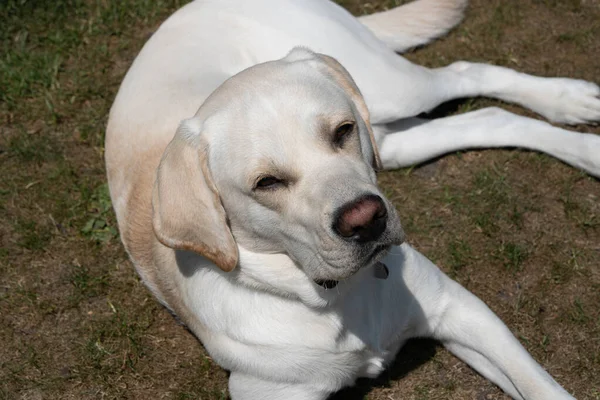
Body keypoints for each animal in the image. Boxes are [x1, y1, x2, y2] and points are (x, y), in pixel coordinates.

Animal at [105, 1, 596, 398]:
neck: (333, 297)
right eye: (266, 182)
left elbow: (541, 387)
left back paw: (569, 101)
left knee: (465, 72)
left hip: (387, 89)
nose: (366, 220)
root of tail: (185, 9)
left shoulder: (458, 307)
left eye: (341, 130)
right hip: (392, 139)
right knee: (488, 117)